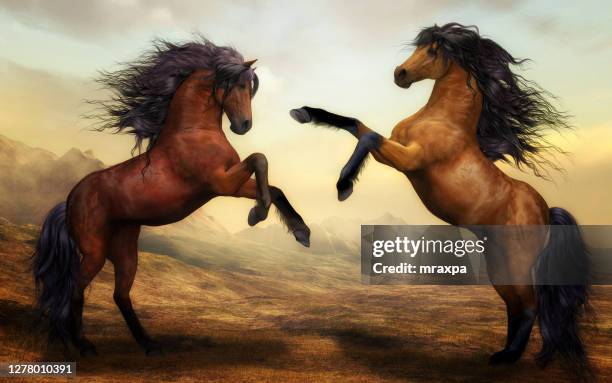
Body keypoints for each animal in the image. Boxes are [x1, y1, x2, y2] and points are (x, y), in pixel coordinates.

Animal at [33, 39, 310, 356]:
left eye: (249, 87)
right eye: (238, 84)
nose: (243, 125)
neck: (193, 131)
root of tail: (69, 200)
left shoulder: (229, 183)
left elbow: (273, 188)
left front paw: (300, 232)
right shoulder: (220, 182)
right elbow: (260, 159)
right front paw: (258, 214)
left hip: (125, 249)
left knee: (120, 295)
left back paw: (149, 344)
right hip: (95, 252)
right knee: (76, 289)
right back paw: (82, 344)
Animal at [294, 23, 592, 372]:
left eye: (434, 50)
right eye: (419, 46)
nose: (400, 73)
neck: (444, 121)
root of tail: (547, 211)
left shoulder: (409, 160)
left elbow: (368, 137)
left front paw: (344, 185)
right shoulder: (394, 150)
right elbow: (355, 124)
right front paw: (303, 113)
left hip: (517, 259)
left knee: (530, 305)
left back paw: (509, 357)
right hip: (499, 260)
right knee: (514, 305)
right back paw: (501, 353)